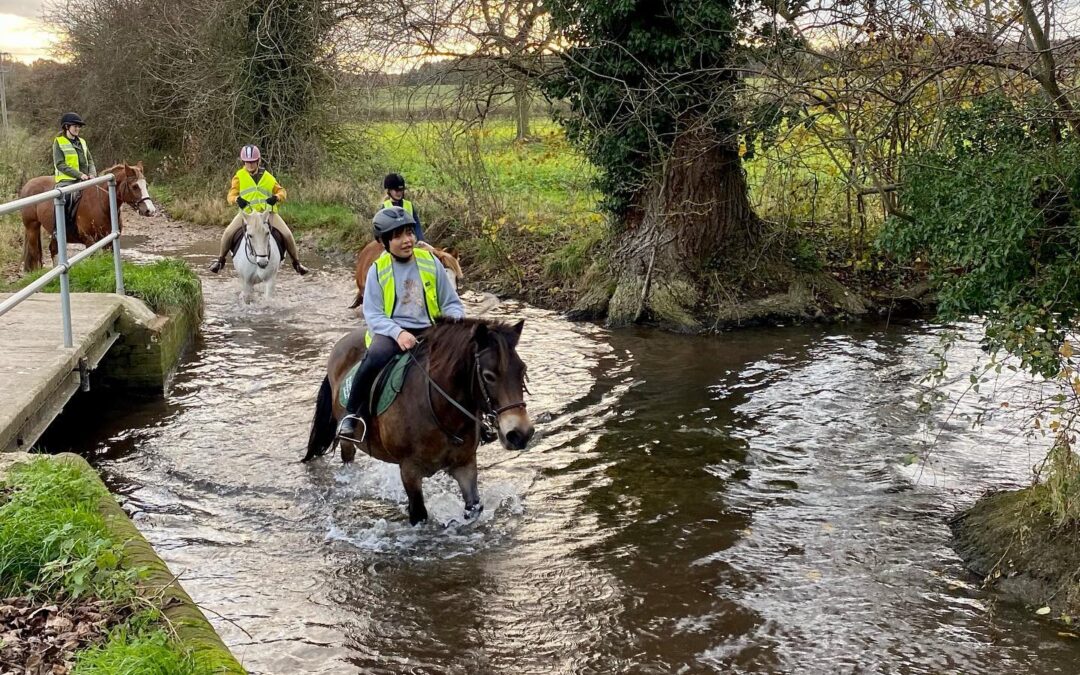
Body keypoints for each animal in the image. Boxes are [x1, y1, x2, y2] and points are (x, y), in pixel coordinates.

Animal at [19, 162, 156, 270]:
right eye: (135, 186)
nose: (150, 210)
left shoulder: (109, 241)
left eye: (146, 185)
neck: (101, 203)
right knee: (34, 252)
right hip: (32, 227)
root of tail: (27, 185)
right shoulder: (89, 241)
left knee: (53, 249)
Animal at [306, 317, 533, 527]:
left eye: (522, 370)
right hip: (348, 438)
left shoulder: (465, 464)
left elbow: (473, 507)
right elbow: (419, 514)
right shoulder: (409, 471)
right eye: (488, 376)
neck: (439, 409)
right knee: (348, 456)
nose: (521, 434)